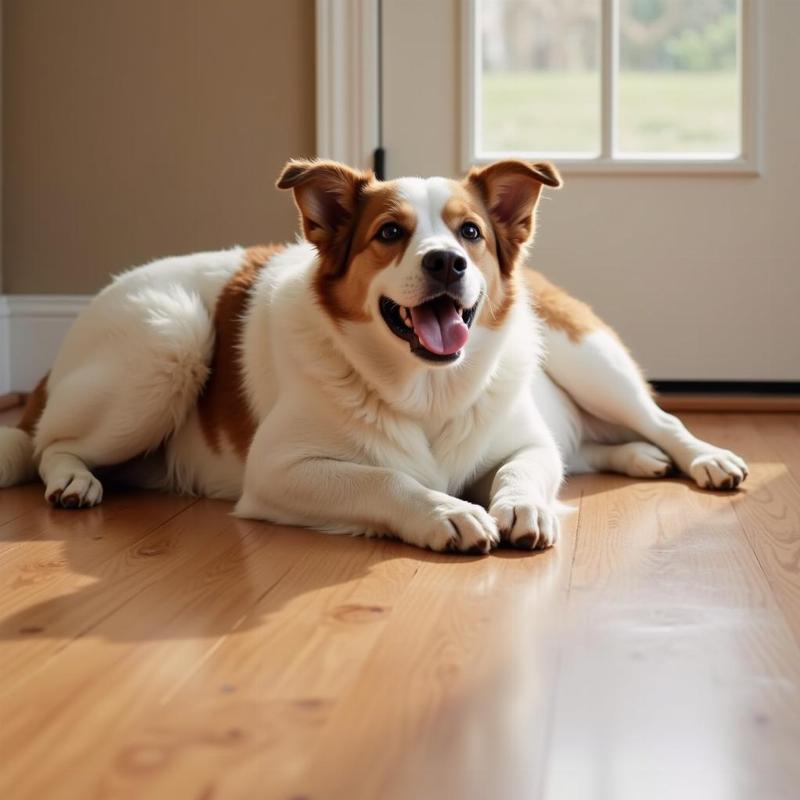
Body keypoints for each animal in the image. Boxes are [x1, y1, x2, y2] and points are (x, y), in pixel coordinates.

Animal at [0, 159, 752, 552]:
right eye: (390, 233)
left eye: (470, 233)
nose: (447, 262)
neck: (427, 387)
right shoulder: (279, 470)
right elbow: (384, 479)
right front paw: (447, 512)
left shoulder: (527, 442)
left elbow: (524, 468)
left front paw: (522, 507)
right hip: (169, 340)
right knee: (47, 446)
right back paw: (73, 483)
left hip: (589, 359)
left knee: (653, 423)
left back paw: (691, 458)